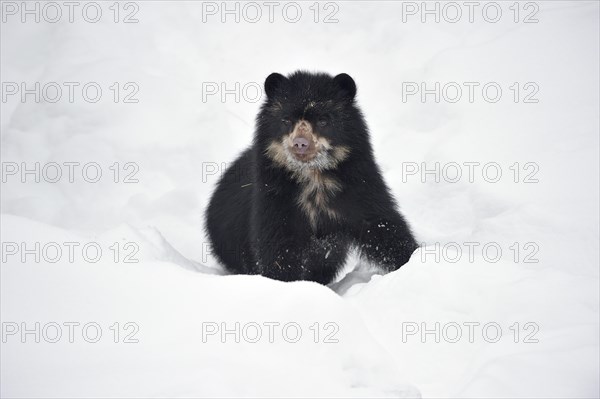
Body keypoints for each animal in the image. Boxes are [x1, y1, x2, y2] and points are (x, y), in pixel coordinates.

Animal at [206, 71, 418, 284]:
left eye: (323, 120)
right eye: (286, 120)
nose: (301, 143)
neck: (314, 176)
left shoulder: (358, 186)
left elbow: (382, 226)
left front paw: (413, 259)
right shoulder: (274, 198)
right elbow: (278, 248)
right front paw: (284, 283)